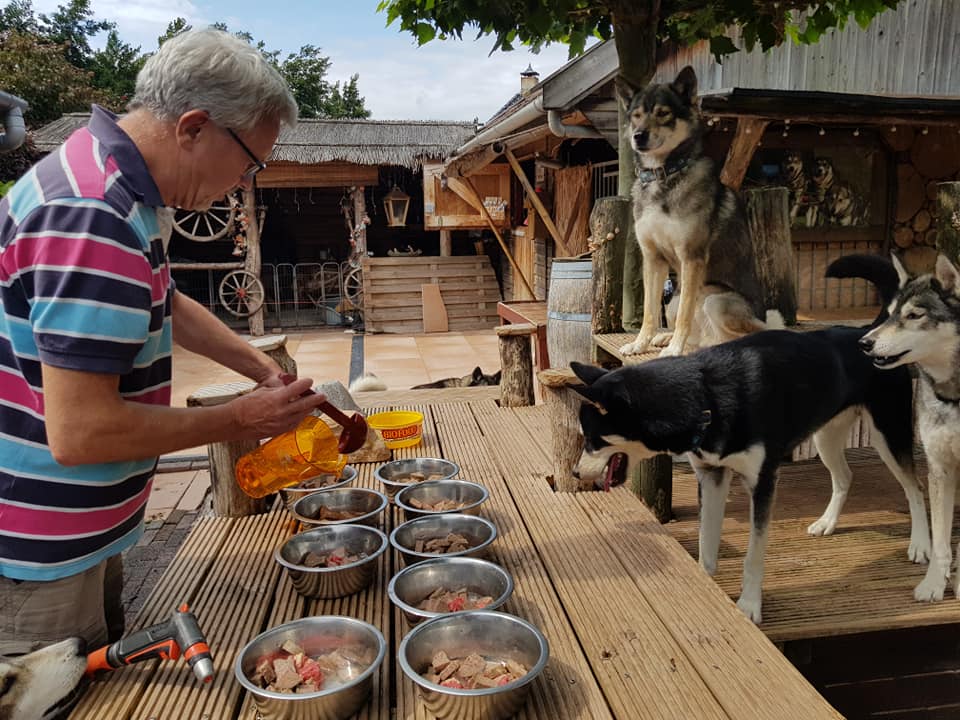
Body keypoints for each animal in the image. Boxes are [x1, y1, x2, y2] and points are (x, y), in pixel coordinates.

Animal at [572, 256, 928, 620]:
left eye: (593, 439)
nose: (575, 473)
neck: (707, 394)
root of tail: (865, 332)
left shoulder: (763, 483)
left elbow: (754, 555)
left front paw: (749, 605)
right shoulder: (712, 476)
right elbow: (707, 545)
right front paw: (708, 587)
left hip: (889, 435)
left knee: (915, 488)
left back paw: (920, 545)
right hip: (826, 437)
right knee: (844, 476)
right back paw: (827, 522)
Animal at [616, 66, 772, 358]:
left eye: (663, 113)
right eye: (636, 115)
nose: (638, 136)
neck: (663, 175)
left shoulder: (692, 257)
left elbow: (686, 315)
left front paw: (675, 350)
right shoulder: (653, 259)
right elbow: (650, 313)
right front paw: (640, 343)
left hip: (715, 300)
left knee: (753, 333)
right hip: (673, 300)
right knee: (696, 335)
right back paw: (668, 339)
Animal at [860, 253, 960, 600]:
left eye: (914, 315)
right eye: (891, 314)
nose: (864, 343)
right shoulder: (941, 468)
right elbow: (942, 541)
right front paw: (934, 583)